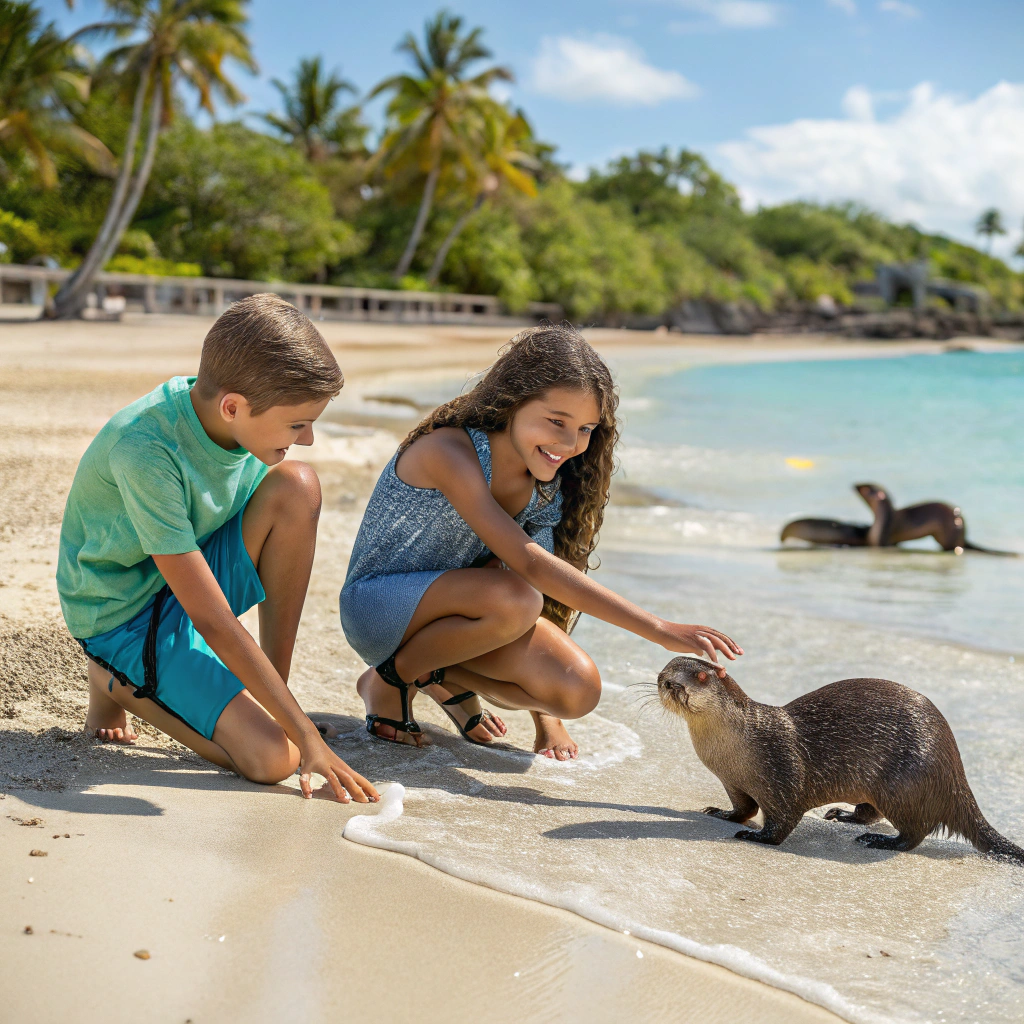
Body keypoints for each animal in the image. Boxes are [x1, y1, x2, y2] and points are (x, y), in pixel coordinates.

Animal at [657, 655, 1024, 863]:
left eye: (700, 677)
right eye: (664, 673)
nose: (670, 684)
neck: (741, 746)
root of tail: (953, 770)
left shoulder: (782, 772)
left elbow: (782, 820)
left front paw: (756, 837)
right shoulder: (731, 781)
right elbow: (743, 808)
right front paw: (720, 812)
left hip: (905, 782)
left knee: (914, 832)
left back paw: (880, 841)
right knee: (874, 813)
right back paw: (844, 815)